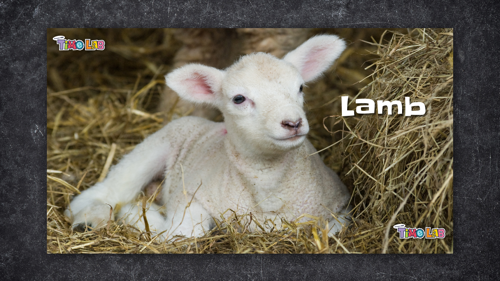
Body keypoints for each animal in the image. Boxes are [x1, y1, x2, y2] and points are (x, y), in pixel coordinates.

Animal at [63, 33, 352, 238]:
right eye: (238, 98)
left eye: (300, 87)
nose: (293, 123)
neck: (269, 190)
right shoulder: (190, 195)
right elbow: (185, 232)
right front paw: (138, 215)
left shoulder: (341, 206)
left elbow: (334, 228)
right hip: (153, 148)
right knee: (105, 191)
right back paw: (90, 219)